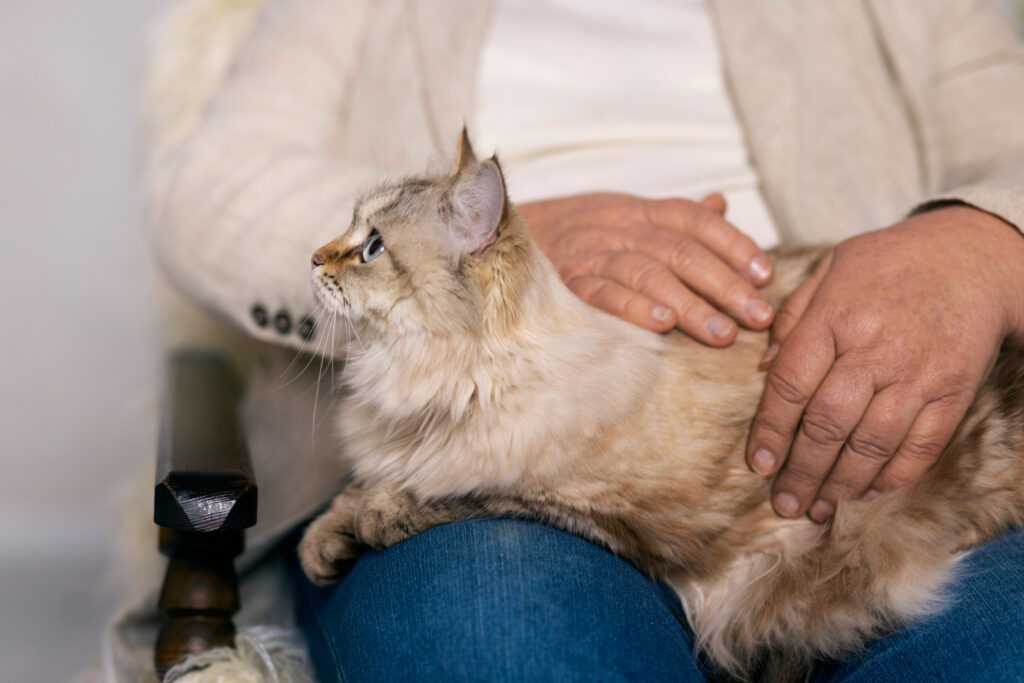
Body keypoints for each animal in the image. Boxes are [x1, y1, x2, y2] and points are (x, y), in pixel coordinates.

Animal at [296, 133, 1024, 683]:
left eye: (372, 248)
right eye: (351, 233)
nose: (311, 258)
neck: (426, 385)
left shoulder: (625, 521)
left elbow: (463, 496)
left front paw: (375, 515)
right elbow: (356, 494)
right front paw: (324, 541)